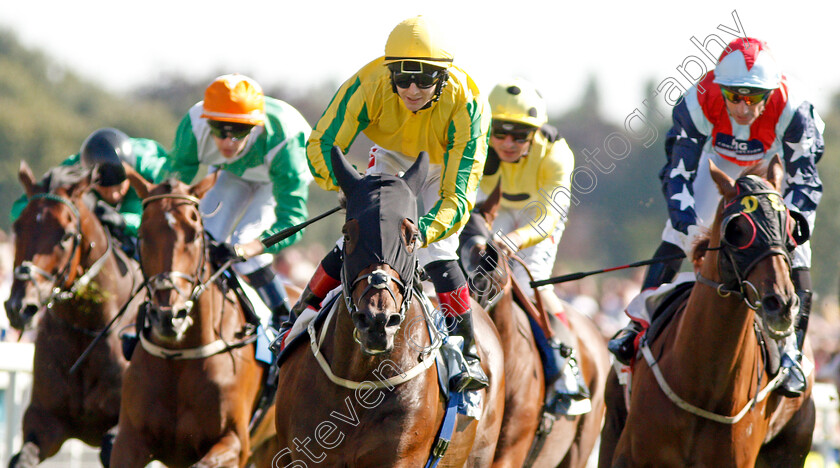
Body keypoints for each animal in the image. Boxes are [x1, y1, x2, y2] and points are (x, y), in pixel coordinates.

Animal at [4, 160, 142, 464]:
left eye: (67, 235)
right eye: (18, 227)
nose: (19, 306)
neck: (87, 328)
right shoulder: (44, 422)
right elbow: (23, 456)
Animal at [110, 171, 288, 468]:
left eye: (194, 236)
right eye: (142, 235)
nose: (168, 316)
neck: (179, 356)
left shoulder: (235, 442)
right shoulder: (129, 440)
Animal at [274, 149, 506, 464]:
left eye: (412, 237)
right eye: (348, 234)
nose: (377, 321)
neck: (358, 380)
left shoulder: (400, 454)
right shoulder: (298, 453)